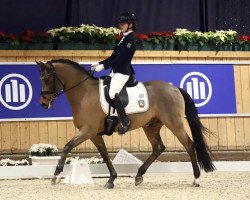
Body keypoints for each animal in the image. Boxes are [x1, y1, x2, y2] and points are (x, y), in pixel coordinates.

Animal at [36, 58, 216, 188]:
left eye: (47, 79)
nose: (43, 103)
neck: (84, 94)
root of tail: (175, 88)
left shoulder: (88, 130)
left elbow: (67, 146)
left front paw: (55, 174)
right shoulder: (94, 134)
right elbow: (104, 154)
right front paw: (111, 179)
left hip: (174, 123)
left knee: (189, 145)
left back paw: (196, 179)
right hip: (151, 126)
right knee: (158, 147)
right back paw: (139, 176)